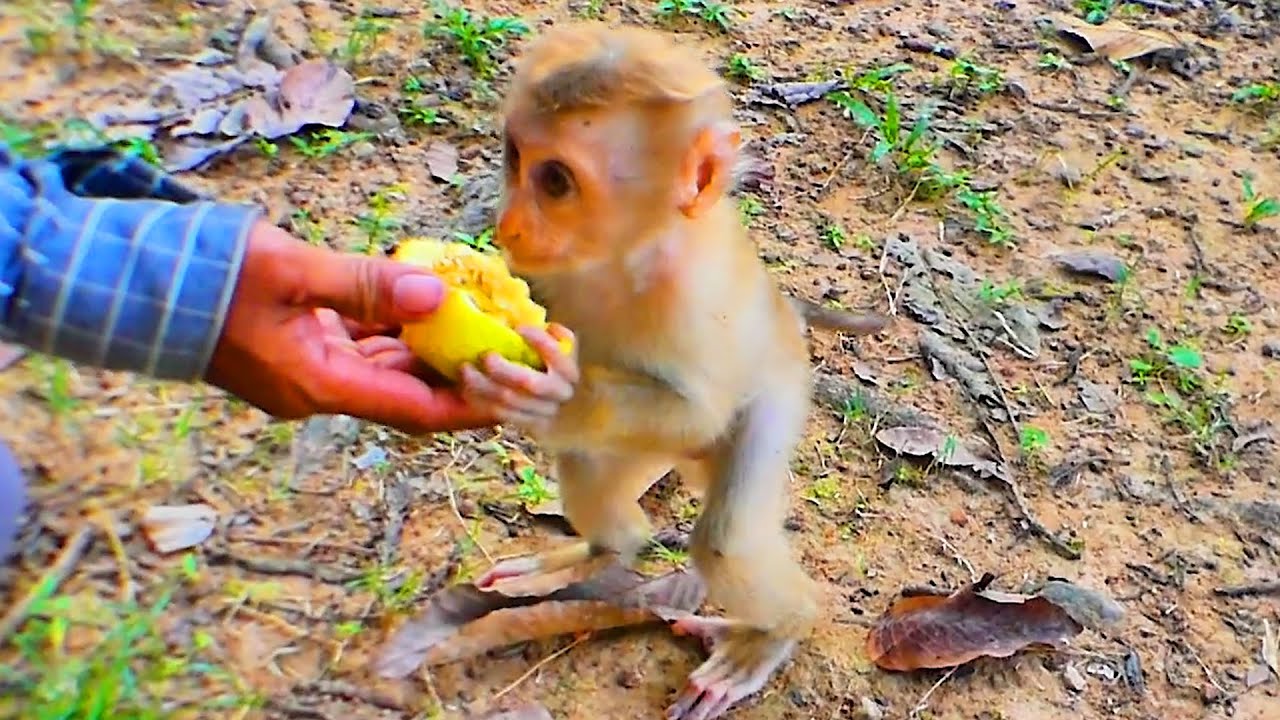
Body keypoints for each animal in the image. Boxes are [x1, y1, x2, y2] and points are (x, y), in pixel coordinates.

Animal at [455, 22, 888, 720]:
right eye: (515, 158)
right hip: (645, 448)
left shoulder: (689, 301)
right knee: (592, 463)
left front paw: (562, 394)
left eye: (556, 181)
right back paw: (600, 553)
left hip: (773, 398)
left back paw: (772, 634)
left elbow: (699, 411)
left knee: (724, 535)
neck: (624, 257)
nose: (508, 224)